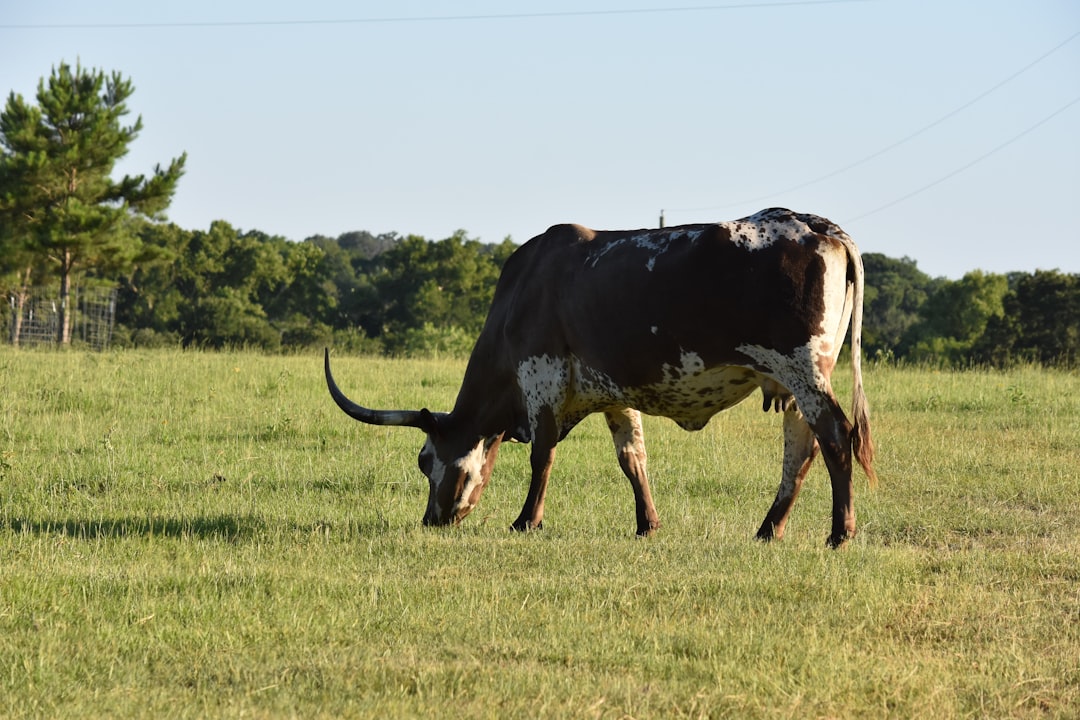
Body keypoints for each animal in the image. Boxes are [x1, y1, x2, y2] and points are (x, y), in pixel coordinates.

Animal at [325, 207, 877, 548]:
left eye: (424, 461)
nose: (432, 520)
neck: (522, 292)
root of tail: (818, 225)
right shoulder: (616, 393)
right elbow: (633, 457)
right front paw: (647, 524)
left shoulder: (541, 376)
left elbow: (542, 454)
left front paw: (526, 521)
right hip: (798, 381)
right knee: (800, 448)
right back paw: (769, 529)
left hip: (802, 369)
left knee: (834, 436)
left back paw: (839, 533)